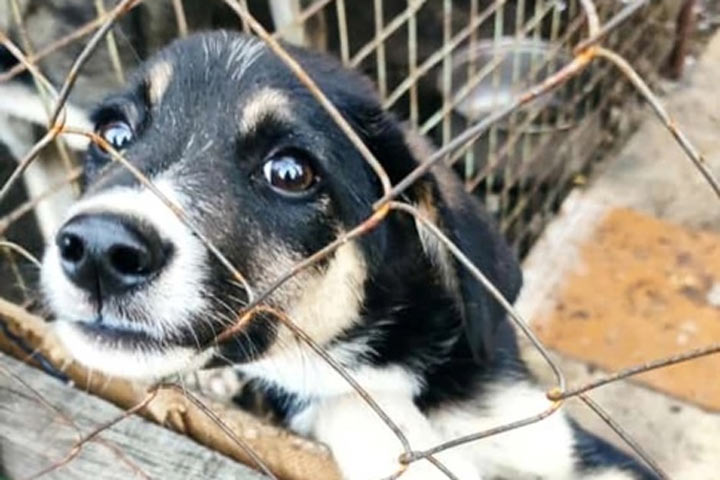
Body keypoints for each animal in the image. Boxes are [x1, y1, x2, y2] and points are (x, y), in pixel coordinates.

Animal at [40, 31, 660, 480]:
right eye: (113, 136)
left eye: (290, 172)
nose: (98, 249)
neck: (387, 357)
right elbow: (343, 401)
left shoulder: (557, 441)